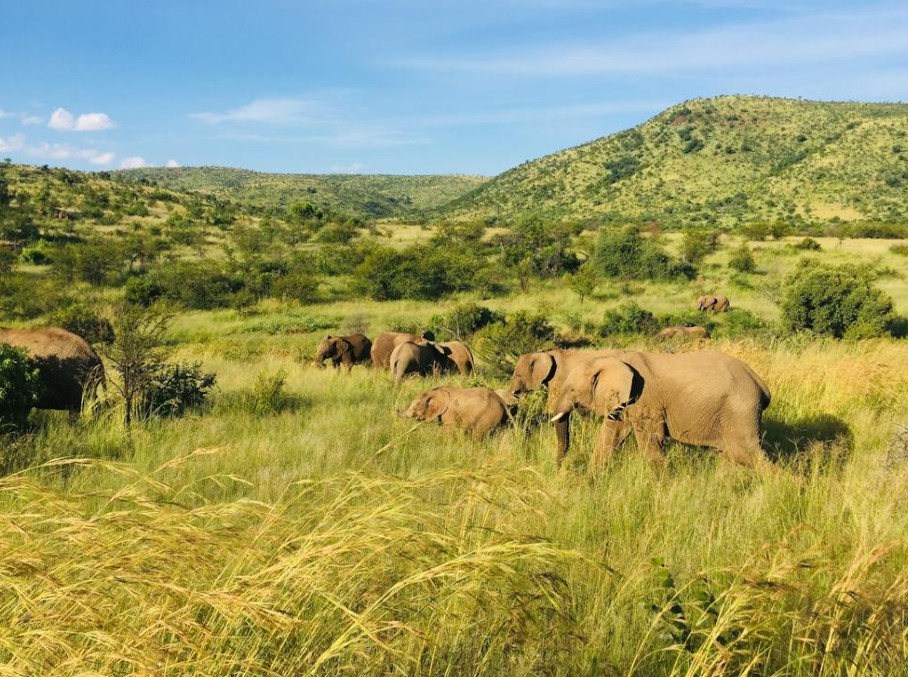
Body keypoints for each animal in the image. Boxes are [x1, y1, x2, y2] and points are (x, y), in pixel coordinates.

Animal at [548, 348, 772, 470]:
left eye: (572, 389)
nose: (559, 469)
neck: (613, 358)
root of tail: (761, 385)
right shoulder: (624, 402)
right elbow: (609, 438)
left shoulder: (645, 400)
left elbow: (651, 444)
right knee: (729, 456)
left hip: (740, 409)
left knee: (748, 455)